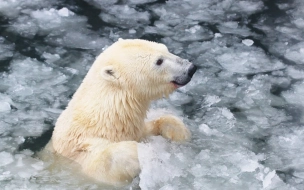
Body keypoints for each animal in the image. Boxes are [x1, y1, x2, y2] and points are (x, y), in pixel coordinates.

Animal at [45, 38, 197, 186]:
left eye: (165, 49)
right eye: (159, 61)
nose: (191, 68)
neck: (103, 119)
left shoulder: (133, 130)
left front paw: (180, 132)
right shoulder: (77, 152)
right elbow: (102, 163)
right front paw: (145, 155)